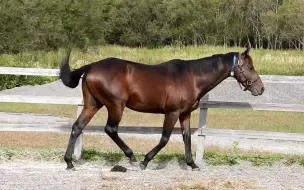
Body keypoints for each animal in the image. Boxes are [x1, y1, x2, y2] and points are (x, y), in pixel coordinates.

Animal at [58, 47, 264, 171]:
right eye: (250, 66)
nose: (260, 89)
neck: (192, 77)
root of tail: (91, 67)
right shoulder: (171, 113)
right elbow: (165, 139)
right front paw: (145, 161)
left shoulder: (185, 114)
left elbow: (187, 137)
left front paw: (192, 164)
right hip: (115, 106)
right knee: (111, 129)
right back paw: (132, 157)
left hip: (93, 104)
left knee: (77, 127)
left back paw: (69, 162)